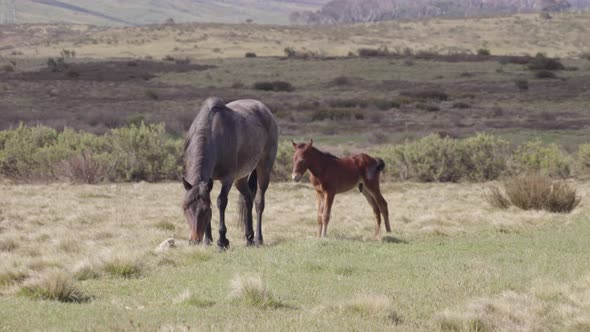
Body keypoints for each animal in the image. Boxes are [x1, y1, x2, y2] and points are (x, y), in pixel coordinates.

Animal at [184, 96, 278, 249]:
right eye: (186, 208)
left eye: (205, 211)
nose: (194, 240)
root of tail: (265, 110)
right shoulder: (209, 181)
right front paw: (207, 240)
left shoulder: (227, 179)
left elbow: (221, 202)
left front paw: (222, 241)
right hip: (240, 178)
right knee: (247, 199)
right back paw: (249, 237)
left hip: (264, 168)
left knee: (259, 202)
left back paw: (258, 238)